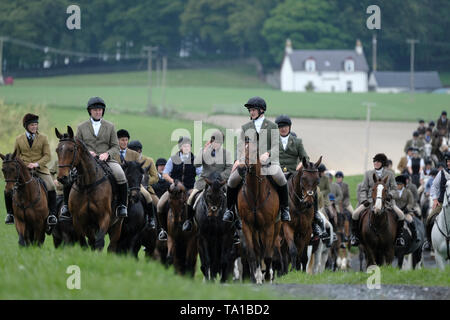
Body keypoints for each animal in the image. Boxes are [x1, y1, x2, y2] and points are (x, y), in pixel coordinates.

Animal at [237, 139, 280, 284]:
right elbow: (252, 254)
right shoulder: (247, 225)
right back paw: (258, 276)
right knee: (257, 251)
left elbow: (267, 255)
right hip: (256, 230)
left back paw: (268, 276)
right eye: (241, 149)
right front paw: (255, 278)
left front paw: (267, 277)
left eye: (255, 151)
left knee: (270, 250)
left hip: (275, 227)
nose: (241, 168)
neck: (255, 193)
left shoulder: (268, 227)